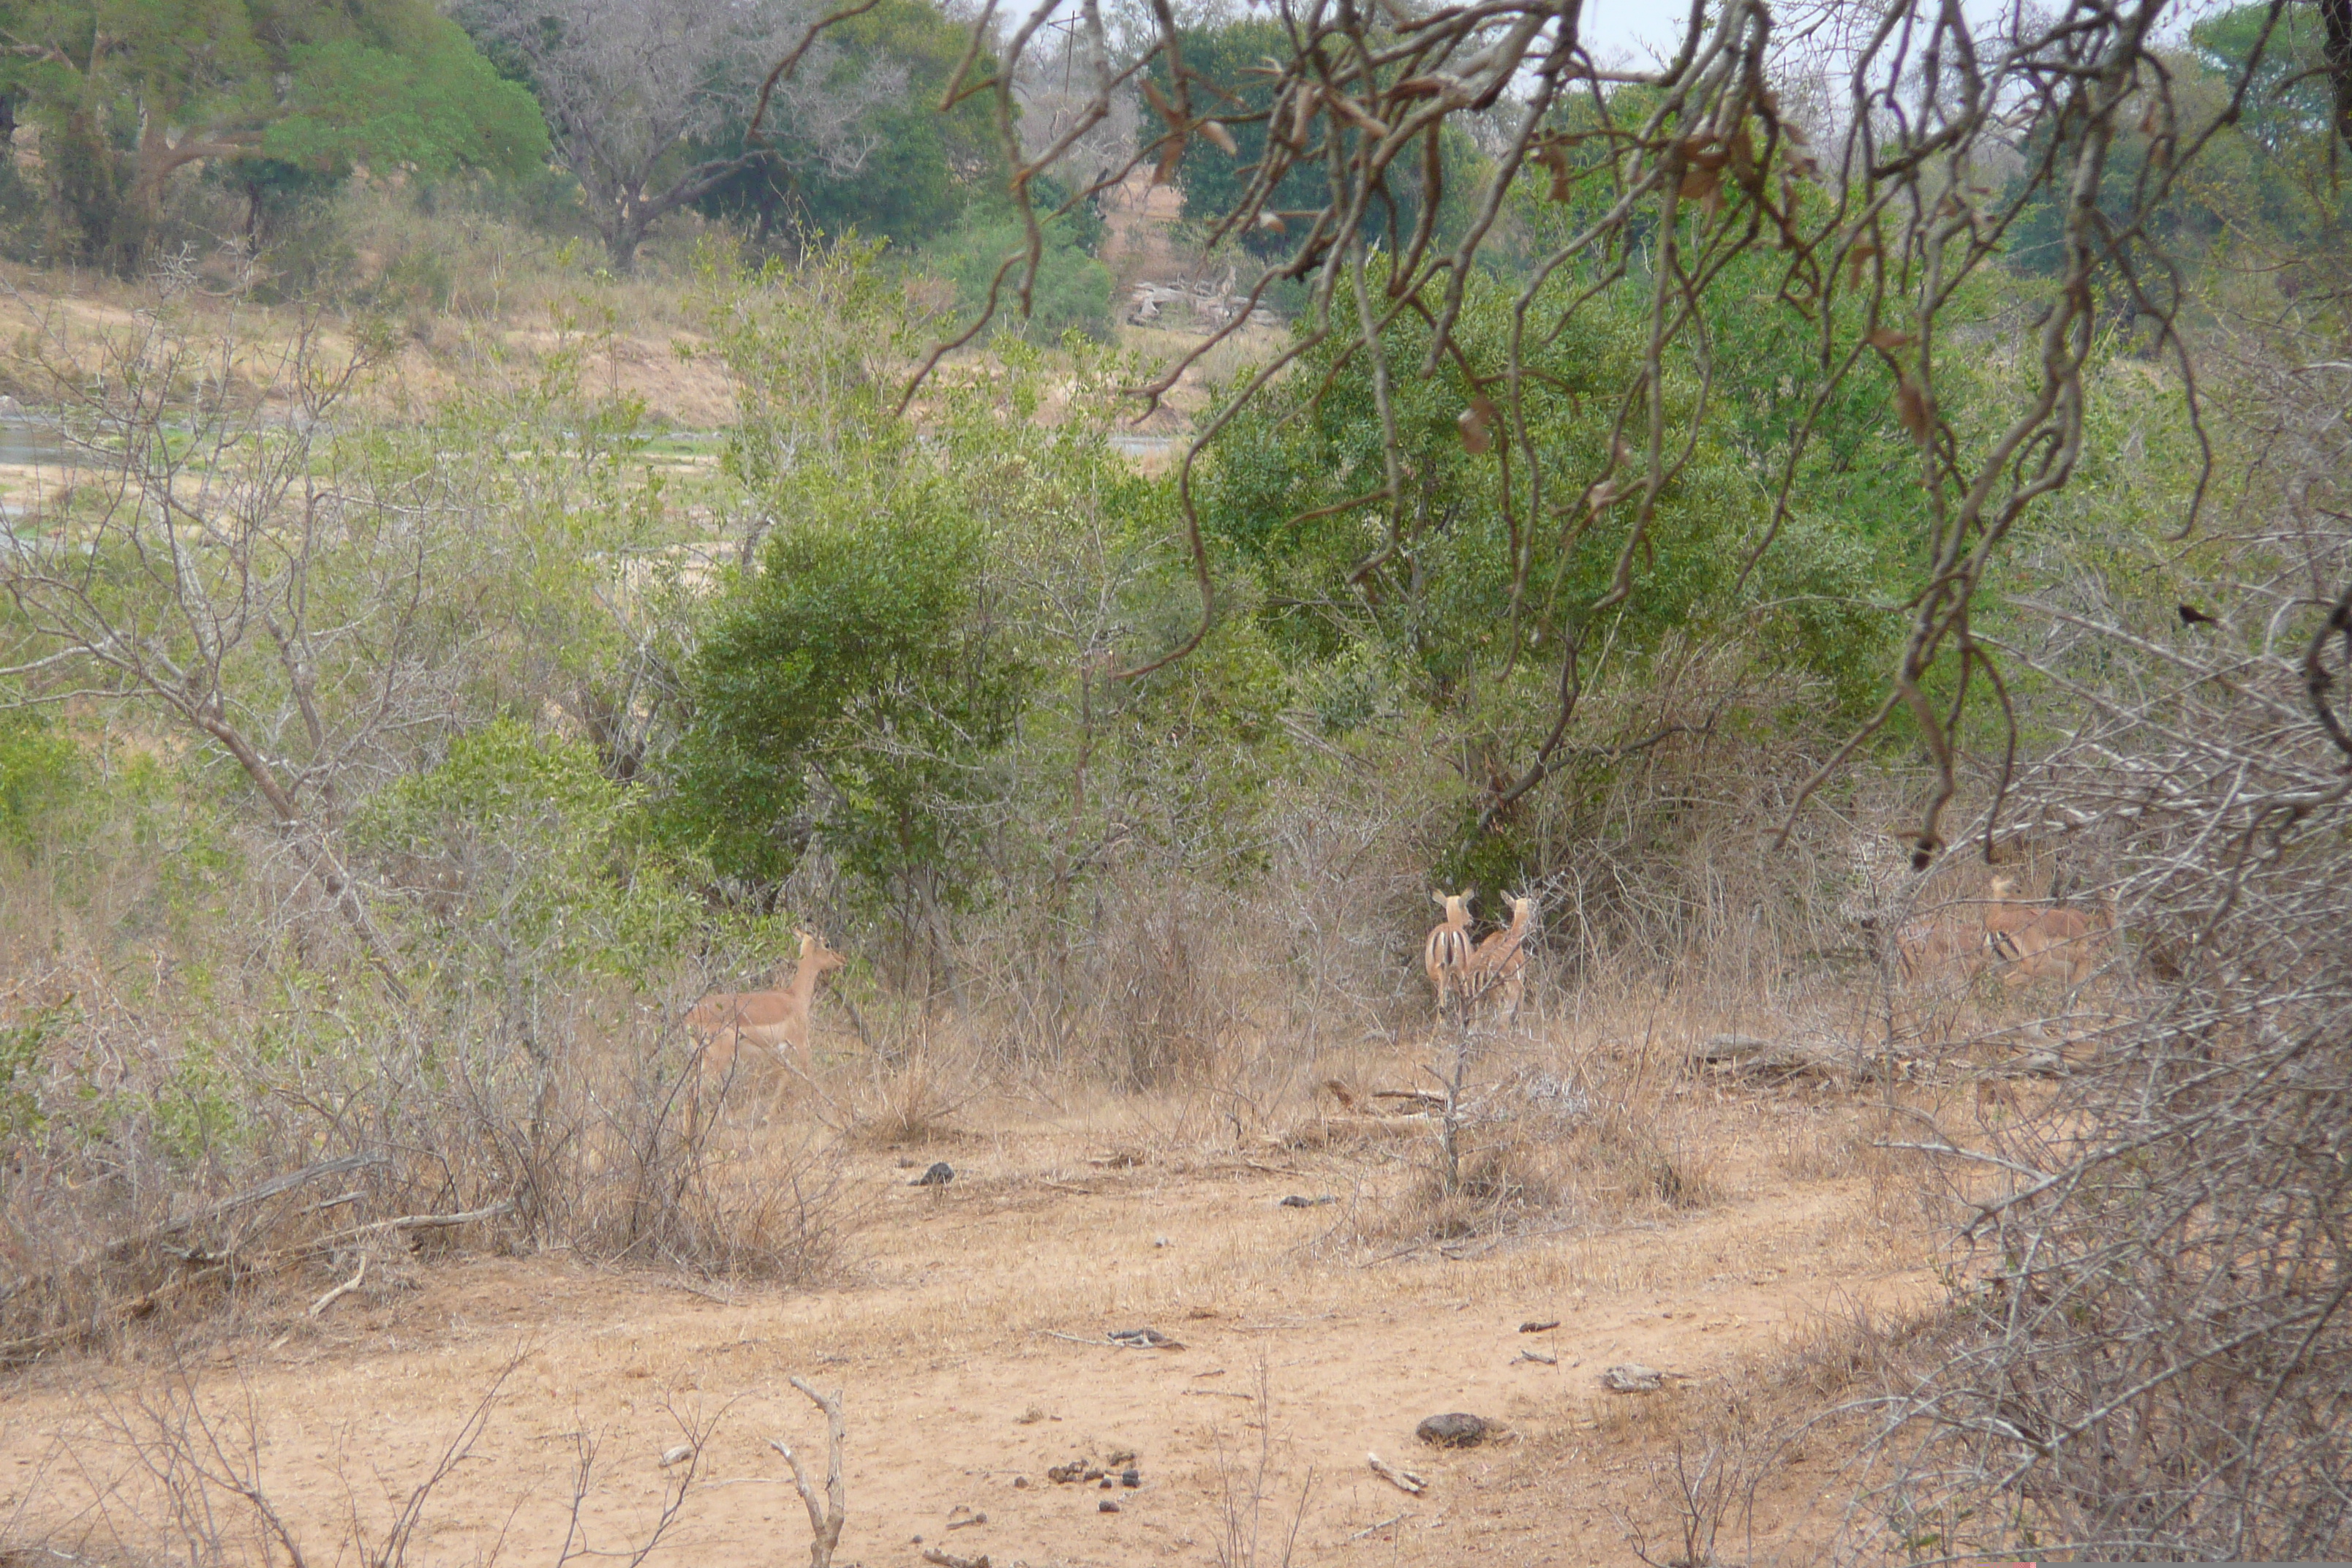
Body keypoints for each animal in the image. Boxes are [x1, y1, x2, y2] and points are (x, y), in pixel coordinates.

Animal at [687, 930, 851, 1128]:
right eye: (827, 944)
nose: (842, 959)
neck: (794, 997)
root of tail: (693, 1014)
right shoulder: (801, 1043)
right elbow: (809, 1074)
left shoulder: (773, 1051)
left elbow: (785, 1076)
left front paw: (766, 1117)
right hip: (717, 1058)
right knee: (694, 1089)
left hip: (704, 1057)